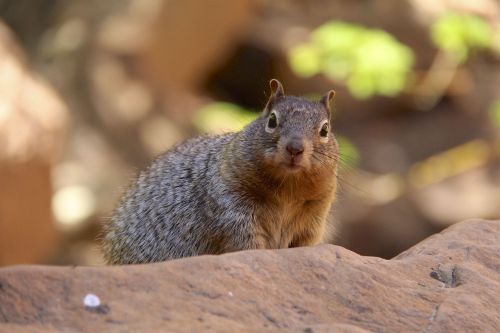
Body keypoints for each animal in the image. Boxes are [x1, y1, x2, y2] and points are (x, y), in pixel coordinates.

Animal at [100, 79, 338, 264]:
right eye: (272, 120)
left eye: (325, 129)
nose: (295, 148)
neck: (288, 190)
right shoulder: (231, 203)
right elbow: (245, 240)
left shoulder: (314, 217)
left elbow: (303, 243)